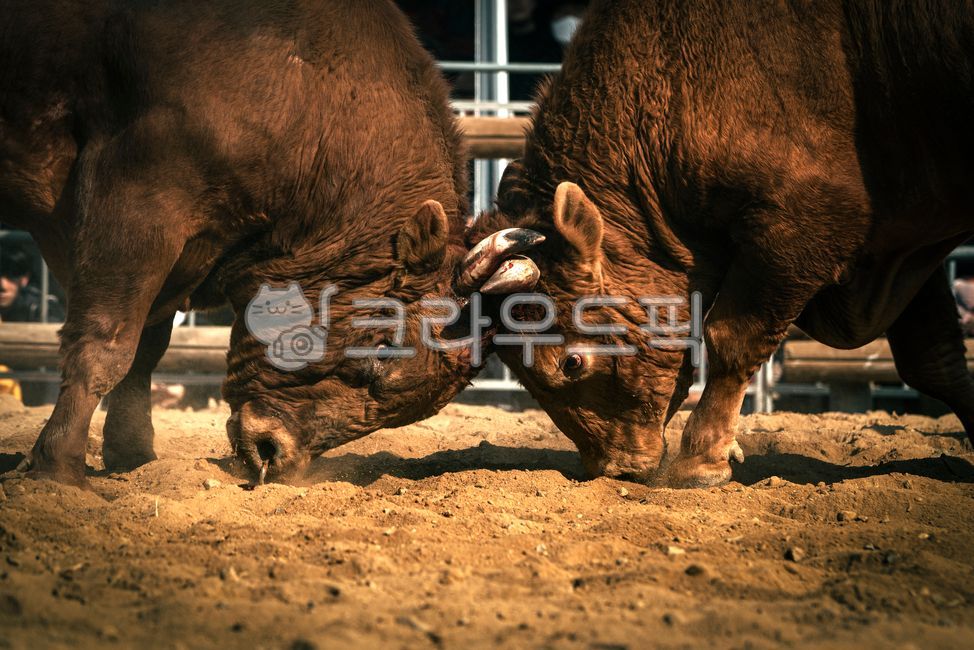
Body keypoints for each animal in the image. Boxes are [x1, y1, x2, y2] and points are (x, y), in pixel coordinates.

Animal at [0, 0, 536, 487]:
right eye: (383, 348)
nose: (274, 453)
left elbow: (147, 346)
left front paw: (132, 457)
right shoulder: (137, 200)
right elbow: (107, 343)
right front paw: (58, 469)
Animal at [467, 0, 974, 487]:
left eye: (570, 362)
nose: (615, 470)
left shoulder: (801, 229)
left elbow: (733, 339)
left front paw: (700, 459)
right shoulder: (899, 241)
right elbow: (933, 360)